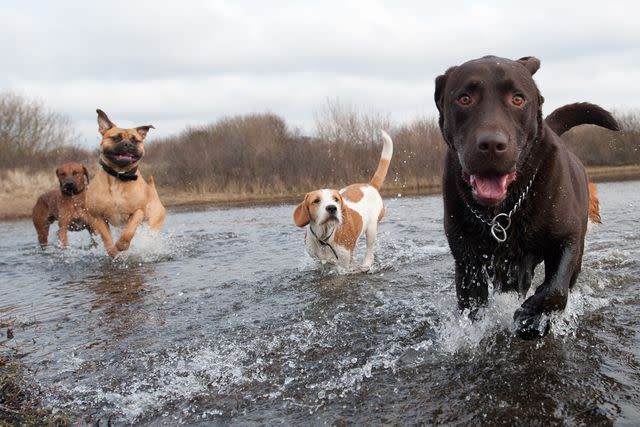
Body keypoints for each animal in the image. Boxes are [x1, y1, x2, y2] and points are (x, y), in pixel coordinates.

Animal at [86, 110, 166, 258]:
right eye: (116, 138)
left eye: (135, 140)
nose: (128, 144)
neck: (119, 176)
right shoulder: (98, 217)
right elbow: (106, 237)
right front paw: (113, 251)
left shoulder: (137, 212)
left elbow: (129, 231)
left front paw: (122, 245)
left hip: (152, 222)